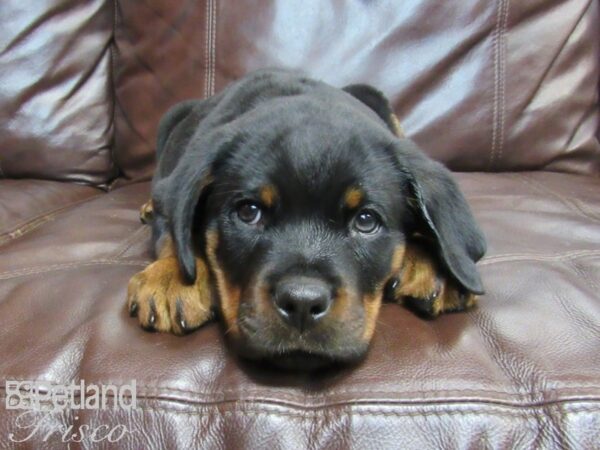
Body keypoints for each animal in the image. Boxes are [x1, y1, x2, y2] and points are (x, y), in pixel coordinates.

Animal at [126, 67, 488, 370]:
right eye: (248, 212)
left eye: (366, 220)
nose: (301, 303)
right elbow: (174, 229)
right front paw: (170, 276)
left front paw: (437, 263)